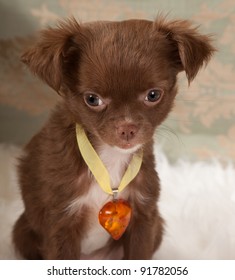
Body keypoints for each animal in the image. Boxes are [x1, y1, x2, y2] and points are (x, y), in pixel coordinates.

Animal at [12, 16, 215, 260]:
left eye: (153, 95)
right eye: (92, 99)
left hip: (157, 227)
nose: (127, 128)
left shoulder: (144, 215)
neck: (110, 158)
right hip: (22, 231)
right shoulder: (61, 220)